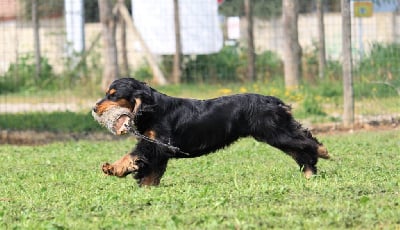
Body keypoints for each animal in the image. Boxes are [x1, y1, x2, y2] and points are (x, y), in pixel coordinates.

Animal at [93, 78, 328, 186]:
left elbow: (134, 155)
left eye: (113, 95)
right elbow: (151, 173)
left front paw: (113, 168)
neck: (154, 109)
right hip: (275, 133)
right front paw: (145, 187)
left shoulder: (157, 144)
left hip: (275, 131)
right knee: (299, 149)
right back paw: (310, 173)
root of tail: (274, 100)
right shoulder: (159, 151)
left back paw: (322, 152)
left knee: (305, 142)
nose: (94, 108)